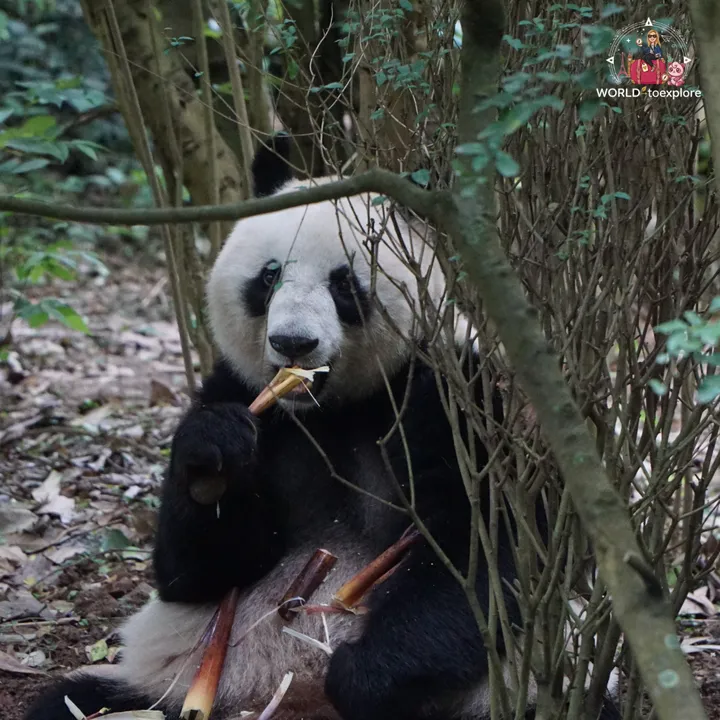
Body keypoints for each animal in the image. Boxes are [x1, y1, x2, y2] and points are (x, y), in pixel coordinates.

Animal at [26, 136, 619, 720]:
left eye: (344, 285)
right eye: (269, 276)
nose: (293, 343)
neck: (328, 410)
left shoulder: (457, 399)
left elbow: (483, 545)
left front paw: (365, 676)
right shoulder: (240, 388)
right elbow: (196, 573)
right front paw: (213, 458)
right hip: (167, 686)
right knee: (71, 703)